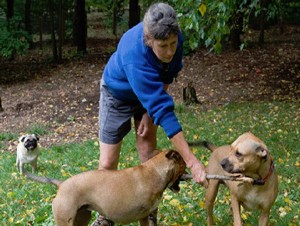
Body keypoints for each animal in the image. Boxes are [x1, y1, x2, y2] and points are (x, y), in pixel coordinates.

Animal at [22, 150, 186, 226]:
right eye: (184, 163)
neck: (155, 172)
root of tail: (62, 184)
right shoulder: (143, 216)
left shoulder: (145, 216)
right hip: (65, 221)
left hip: (81, 218)